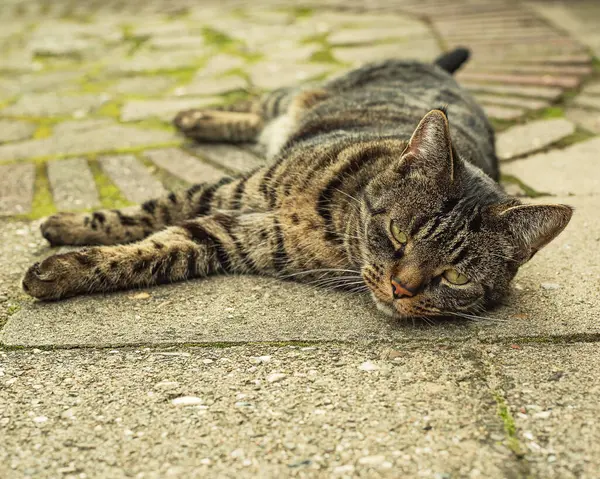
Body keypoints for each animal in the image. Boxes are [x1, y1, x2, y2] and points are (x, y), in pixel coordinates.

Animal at [22, 47, 572, 318]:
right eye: (399, 233)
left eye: (455, 277)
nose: (401, 288)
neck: (333, 224)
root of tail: (437, 67)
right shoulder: (227, 192)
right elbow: (149, 212)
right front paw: (67, 229)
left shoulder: (232, 235)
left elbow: (154, 250)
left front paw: (63, 268)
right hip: (294, 98)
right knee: (259, 102)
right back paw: (192, 115)